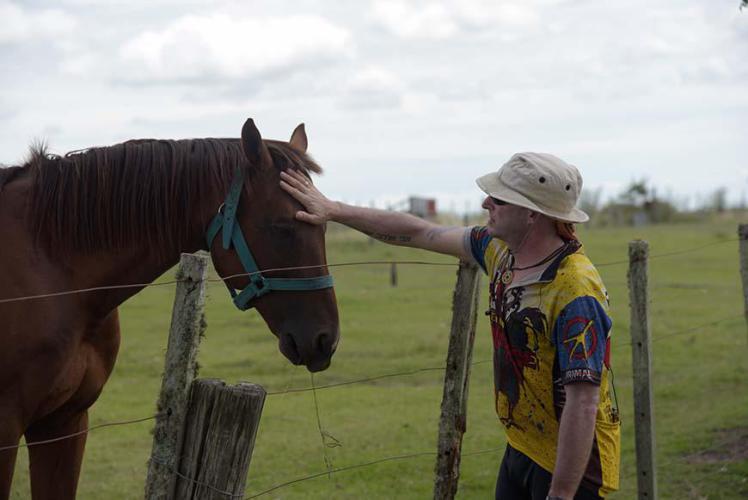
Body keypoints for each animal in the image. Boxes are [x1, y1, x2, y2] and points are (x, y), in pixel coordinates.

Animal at [0, 119, 338, 498]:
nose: (325, 339)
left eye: (325, 223)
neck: (52, 268)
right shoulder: (6, 427)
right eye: (282, 226)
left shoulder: (65, 422)